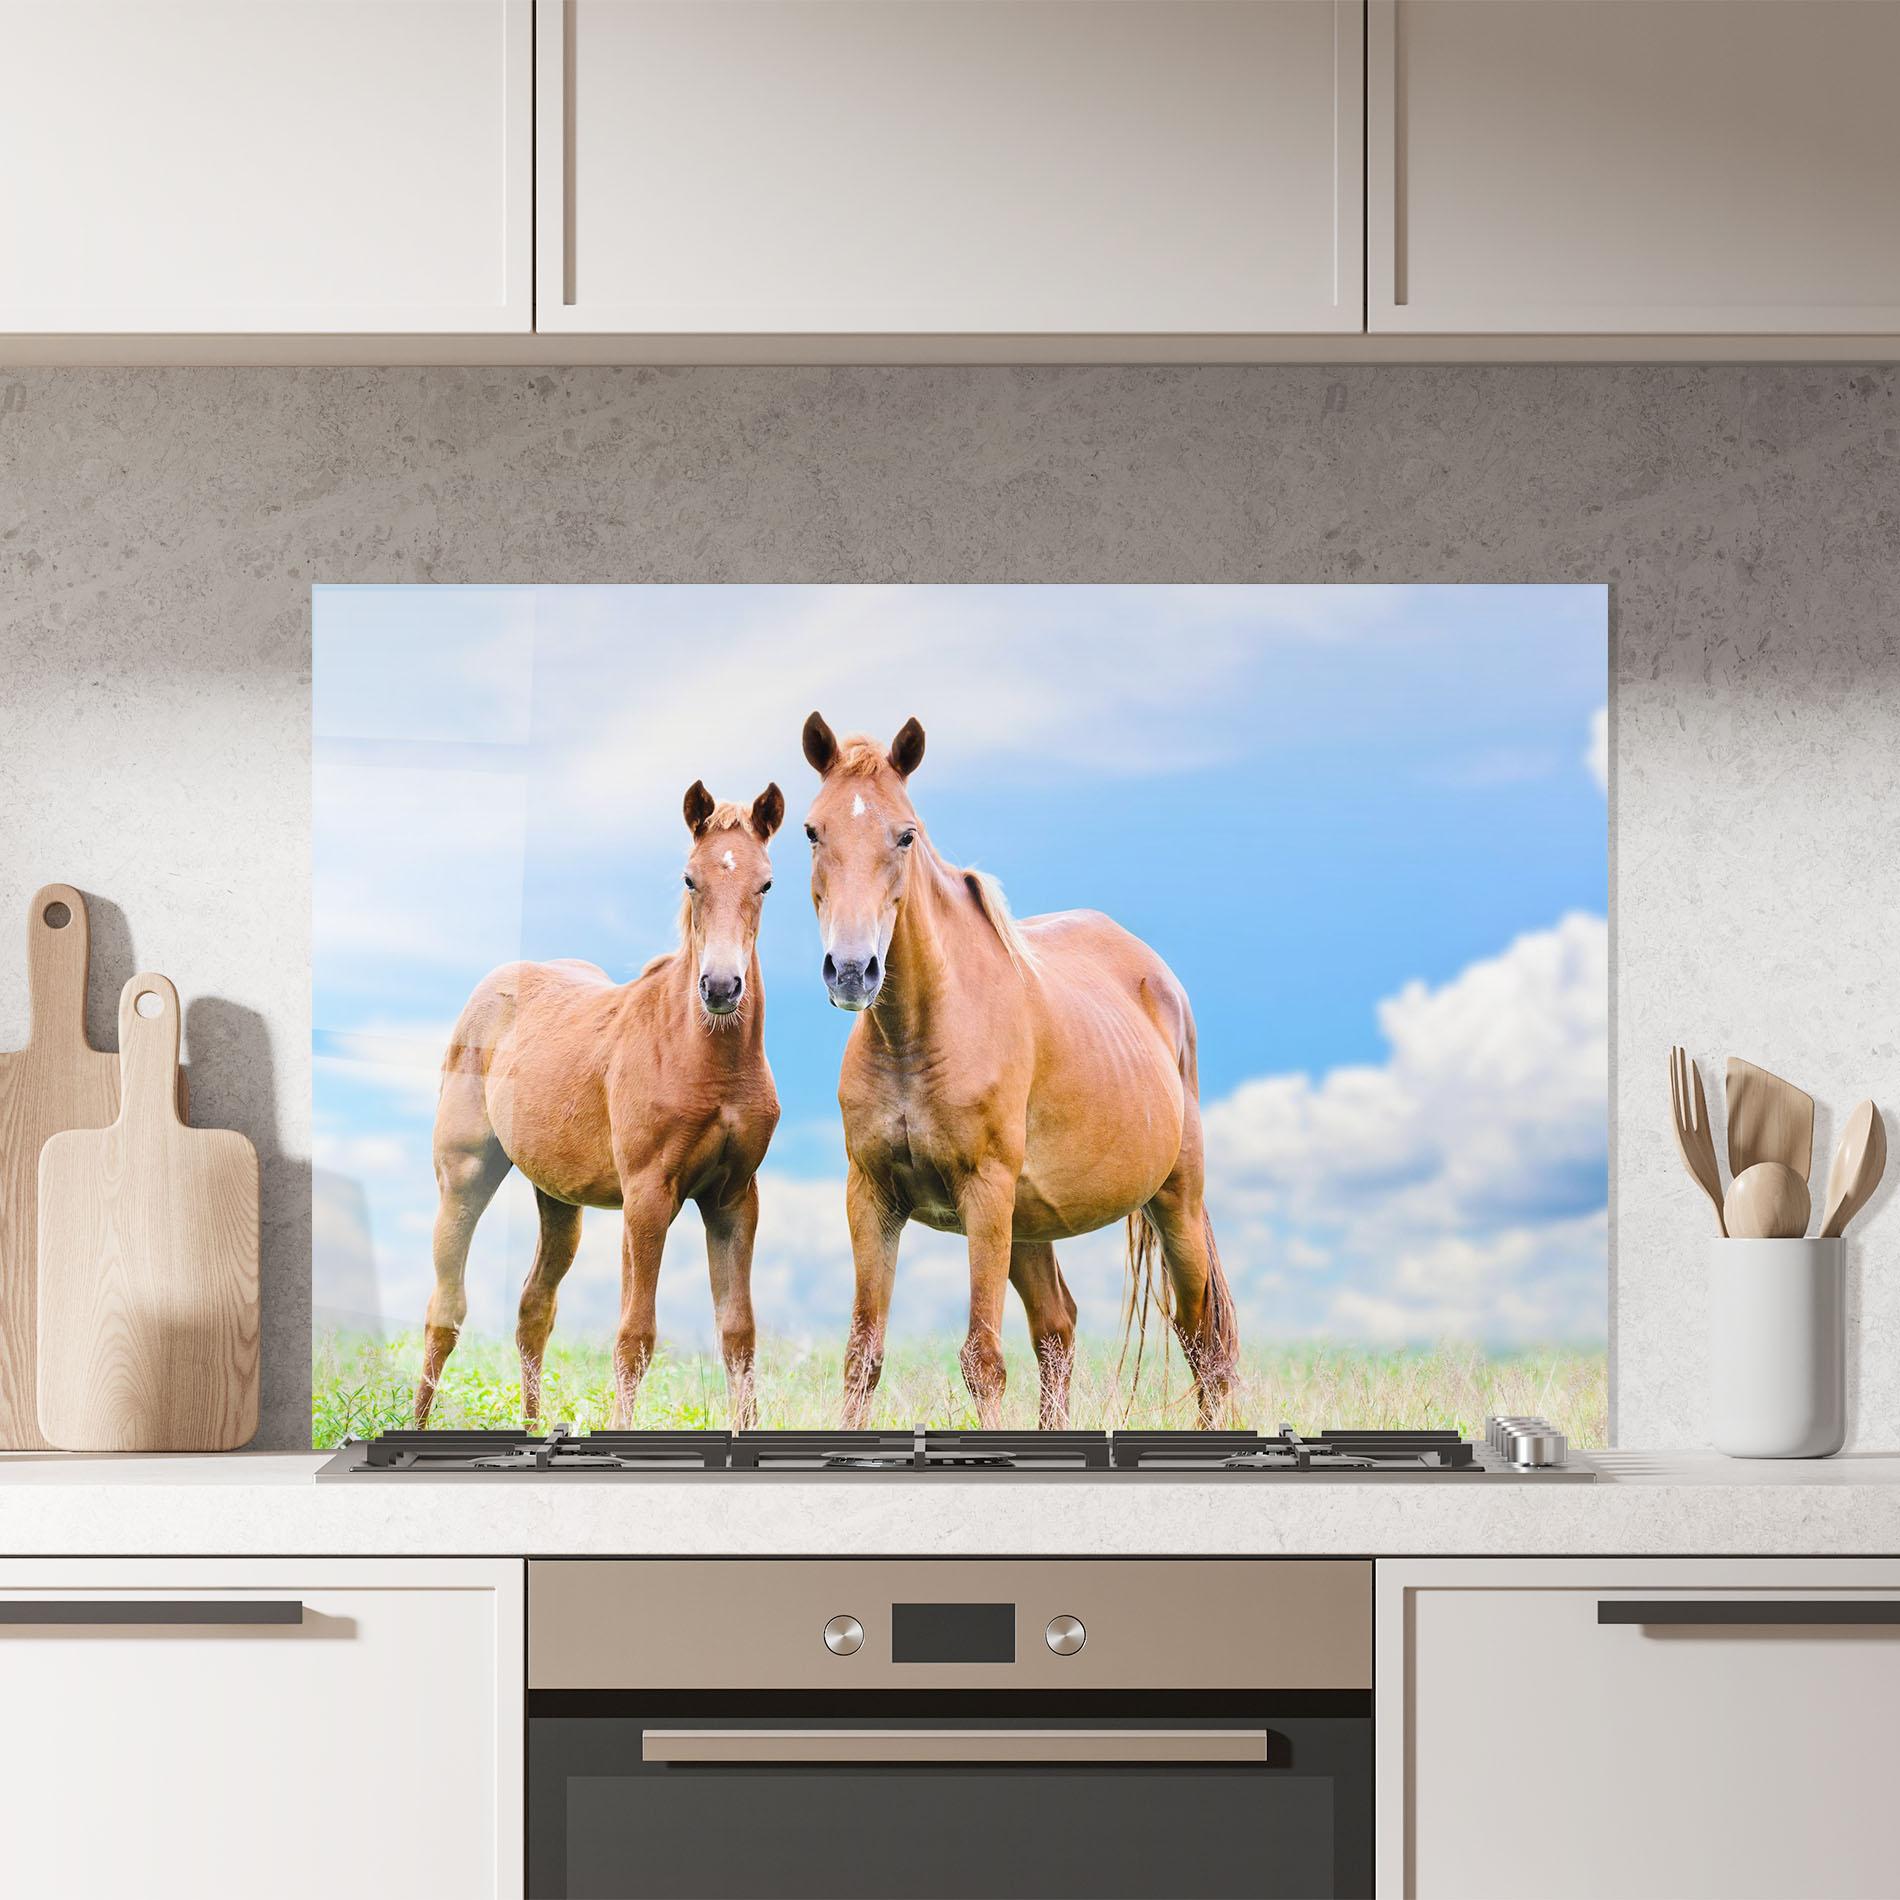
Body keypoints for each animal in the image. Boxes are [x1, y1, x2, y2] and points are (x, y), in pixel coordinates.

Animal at [412, 779, 785, 1431]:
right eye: (690, 879)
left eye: (765, 882)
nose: (720, 987)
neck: (707, 1060)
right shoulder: (648, 1196)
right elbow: (635, 1336)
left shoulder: (735, 1198)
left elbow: (739, 1336)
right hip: (464, 1175)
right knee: (445, 1308)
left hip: (559, 1198)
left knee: (534, 1308)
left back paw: (533, 1429)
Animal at [799, 712, 1238, 1430]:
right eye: (812, 830)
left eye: (906, 834)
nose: (853, 971)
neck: (919, 1034)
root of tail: (1160, 978)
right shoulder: (871, 1198)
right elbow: (862, 1356)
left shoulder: (985, 1193)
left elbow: (982, 1361)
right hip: (1029, 1224)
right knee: (1058, 1332)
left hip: (1173, 1203)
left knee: (1206, 1343)